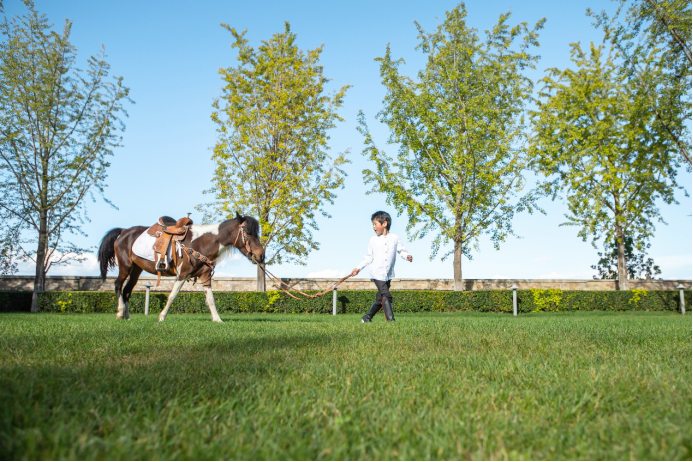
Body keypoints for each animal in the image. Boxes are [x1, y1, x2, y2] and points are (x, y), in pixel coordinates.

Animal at [94, 213, 262, 322]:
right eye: (247, 233)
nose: (261, 255)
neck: (201, 242)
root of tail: (124, 231)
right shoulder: (182, 275)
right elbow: (172, 295)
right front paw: (162, 317)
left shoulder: (205, 276)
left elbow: (210, 299)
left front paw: (217, 319)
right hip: (125, 266)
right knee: (118, 285)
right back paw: (120, 313)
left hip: (136, 269)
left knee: (127, 290)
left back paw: (128, 317)